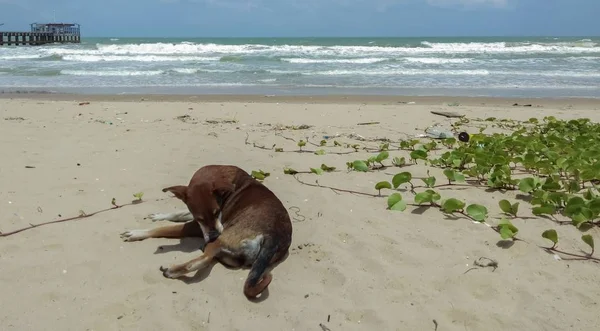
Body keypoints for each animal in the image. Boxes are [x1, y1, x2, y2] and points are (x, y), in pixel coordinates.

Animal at [119, 165, 292, 300]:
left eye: (217, 212)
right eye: (200, 217)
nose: (214, 235)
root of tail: (274, 237)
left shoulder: (196, 227)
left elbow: (164, 228)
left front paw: (137, 233)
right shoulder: (193, 216)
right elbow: (178, 213)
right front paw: (159, 216)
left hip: (222, 239)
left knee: (203, 259)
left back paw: (173, 271)